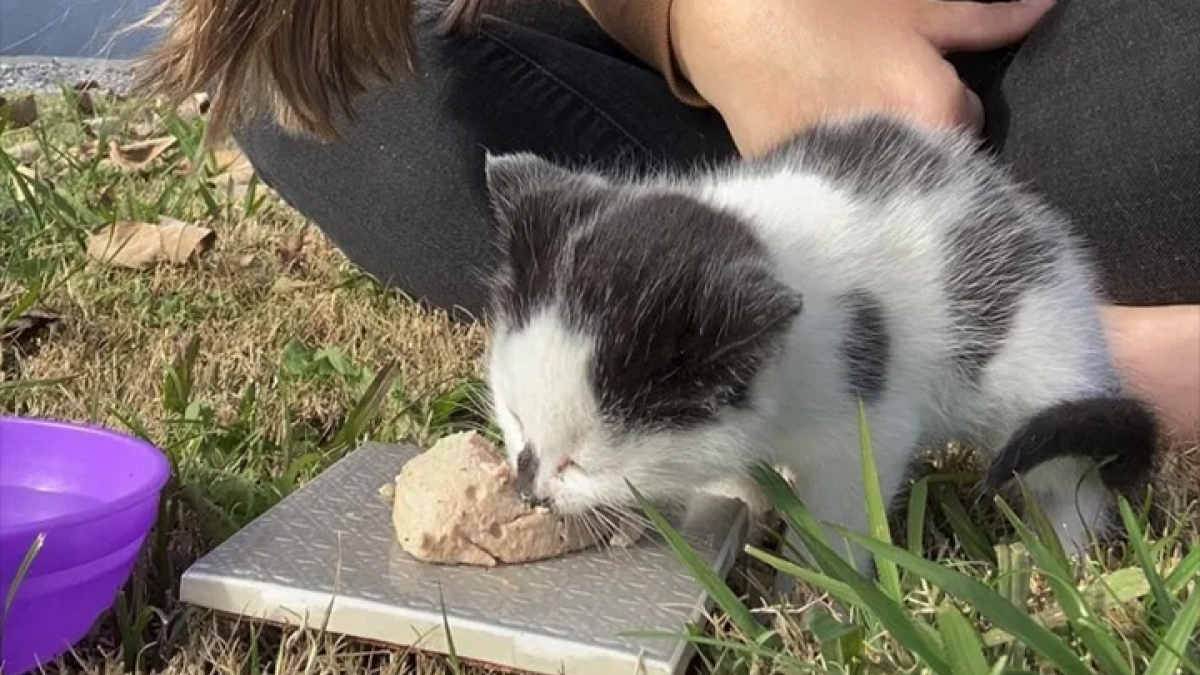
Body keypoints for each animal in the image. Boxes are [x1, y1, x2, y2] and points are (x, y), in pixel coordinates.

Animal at [477, 111, 1161, 571]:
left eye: (582, 460)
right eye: (515, 416)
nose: (529, 491)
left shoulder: (867, 420)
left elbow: (843, 514)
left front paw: (816, 596)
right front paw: (738, 506)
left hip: (1044, 372)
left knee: (1066, 475)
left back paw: (1065, 561)